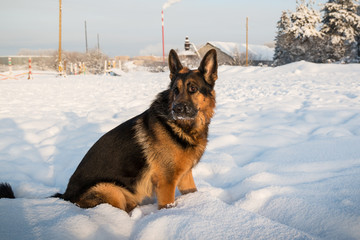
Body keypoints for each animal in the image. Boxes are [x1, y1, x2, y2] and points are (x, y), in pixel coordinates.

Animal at [0, 48, 218, 212]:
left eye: (192, 89)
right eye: (175, 90)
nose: (176, 109)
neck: (181, 127)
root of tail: (66, 196)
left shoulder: (185, 176)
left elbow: (192, 191)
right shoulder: (166, 182)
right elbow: (167, 206)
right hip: (110, 190)